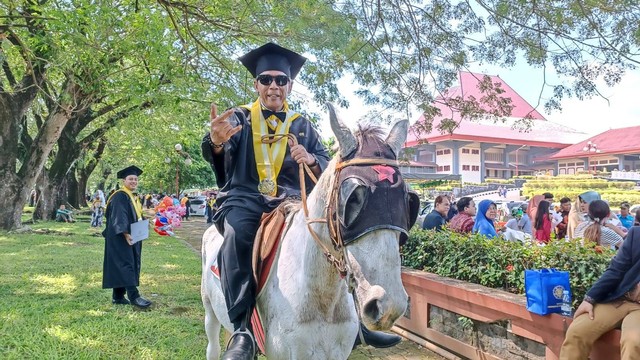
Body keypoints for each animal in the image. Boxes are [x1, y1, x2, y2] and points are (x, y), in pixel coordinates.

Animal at [201, 104, 416, 360]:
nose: (388, 305)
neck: (322, 299)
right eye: (353, 198)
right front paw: (219, 135)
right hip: (210, 312)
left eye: (409, 201)